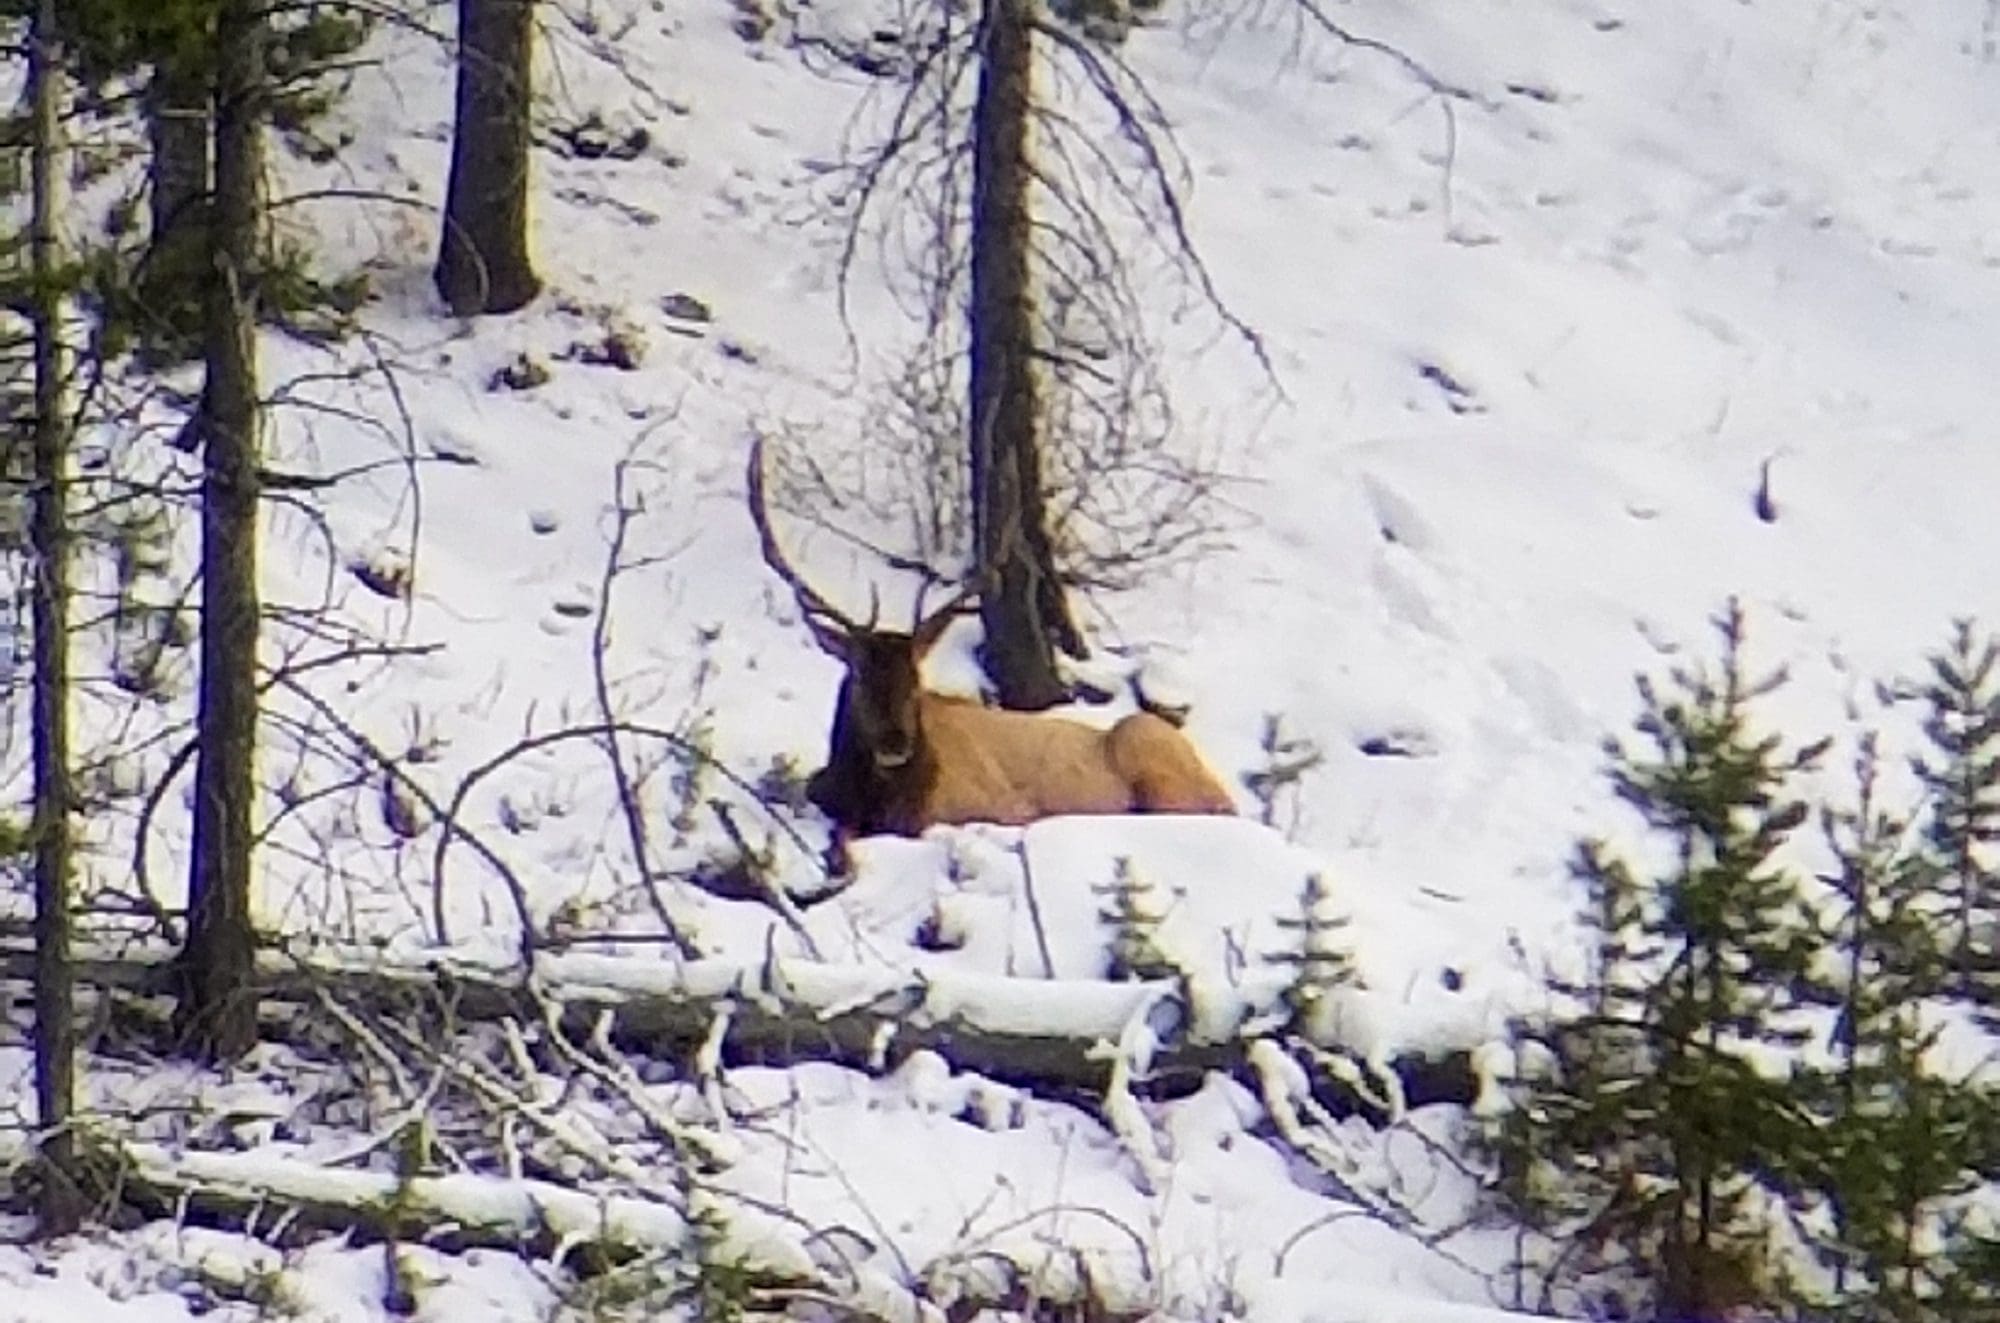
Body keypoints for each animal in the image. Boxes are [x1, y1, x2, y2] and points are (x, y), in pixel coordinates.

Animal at [747, 439, 1237, 863]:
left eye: (916, 682)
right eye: (859, 675)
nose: (894, 741)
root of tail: (1225, 794)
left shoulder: (995, 808)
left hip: (1150, 749)